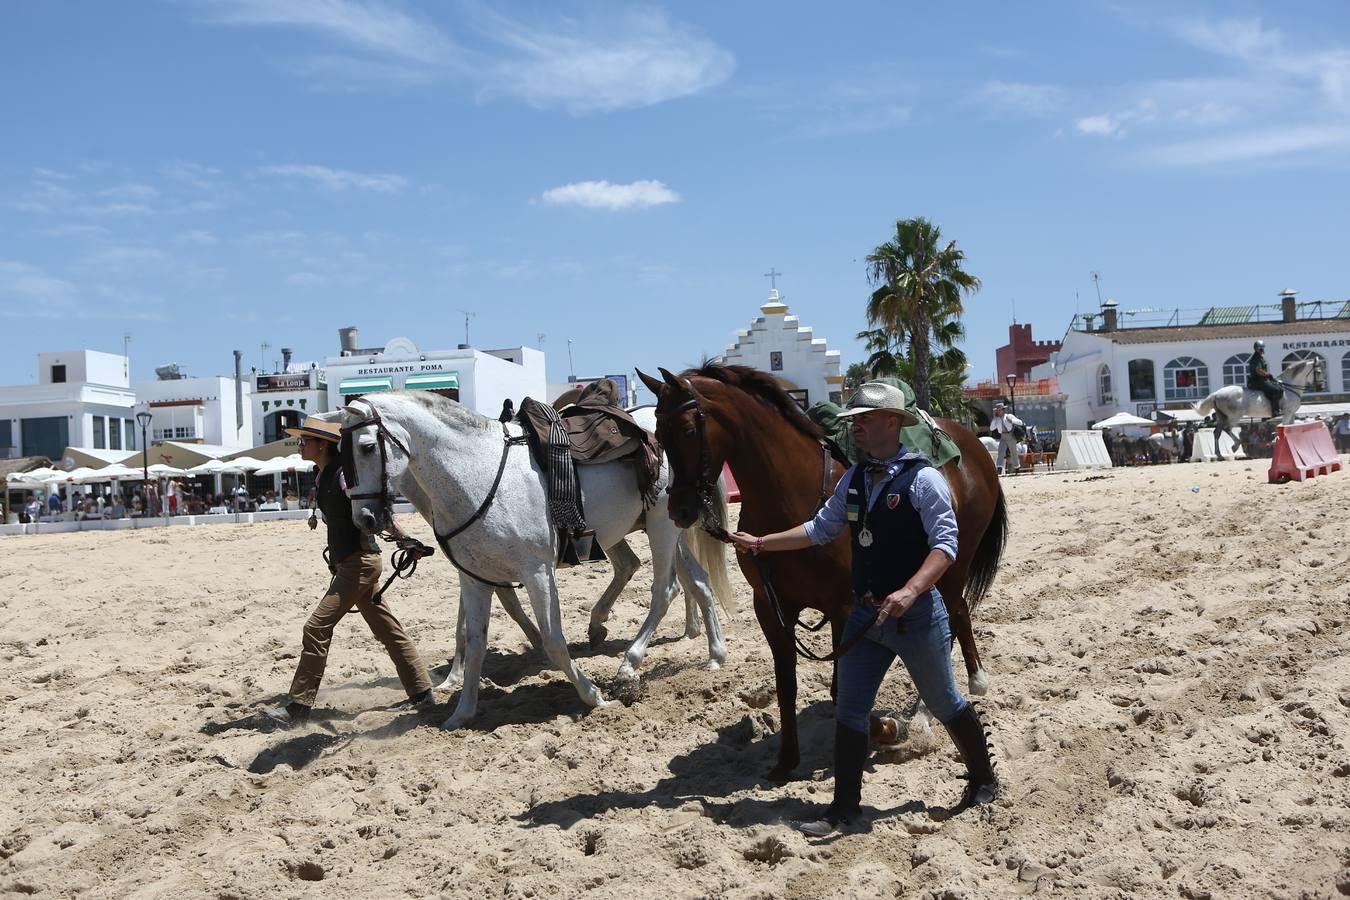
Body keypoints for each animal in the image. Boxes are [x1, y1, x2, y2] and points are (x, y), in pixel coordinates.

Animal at [342, 391, 734, 728]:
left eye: (366, 447)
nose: (364, 519)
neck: (478, 473)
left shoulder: (537, 573)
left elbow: (554, 641)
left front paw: (591, 695)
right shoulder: (475, 578)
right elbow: (475, 642)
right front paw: (461, 712)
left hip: (661, 527)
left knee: (664, 590)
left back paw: (629, 664)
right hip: (670, 527)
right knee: (698, 581)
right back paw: (715, 655)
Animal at [634, 367, 1004, 782]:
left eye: (687, 430)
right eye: (658, 434)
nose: (679, 510)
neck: (791, 497)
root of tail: (970, 443)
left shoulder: (843, 608)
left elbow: (841, 691)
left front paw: (889, 729)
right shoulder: (771, 608)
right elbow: (787, 685)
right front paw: (786, 761)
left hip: (952, 565)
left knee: (951, 621)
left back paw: (935, 706)